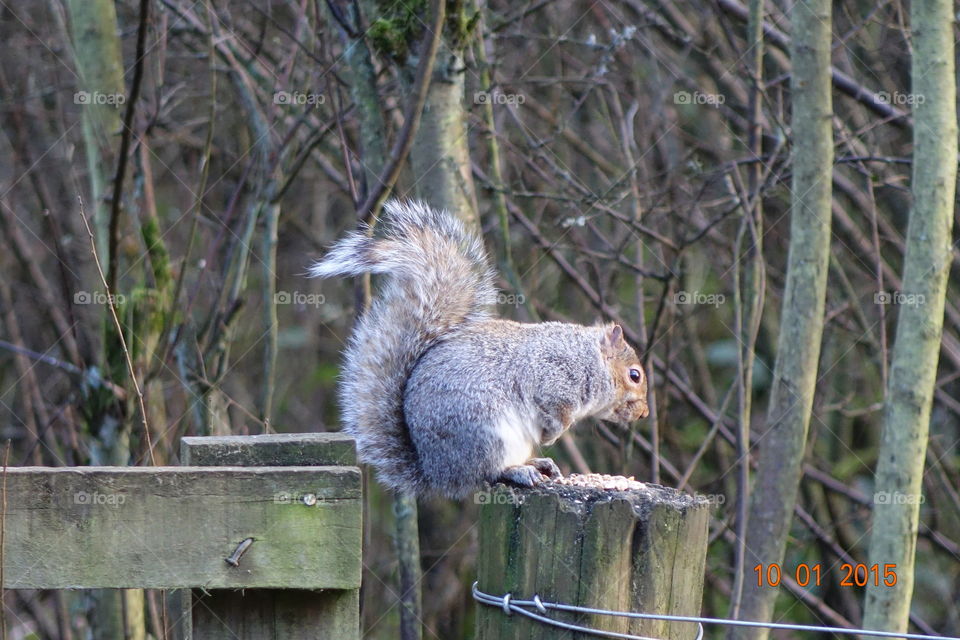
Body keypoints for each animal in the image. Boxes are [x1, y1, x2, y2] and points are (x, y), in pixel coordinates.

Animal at [309, 200, 649, 499]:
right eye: (634, 375)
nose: (644, 413)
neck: (589, 359)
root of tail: (437, 474)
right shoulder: (554, 376)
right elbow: (555, 411)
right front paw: (552, 434)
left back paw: (537, 462)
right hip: (487, 433)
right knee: (487, 473)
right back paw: (518, 470)